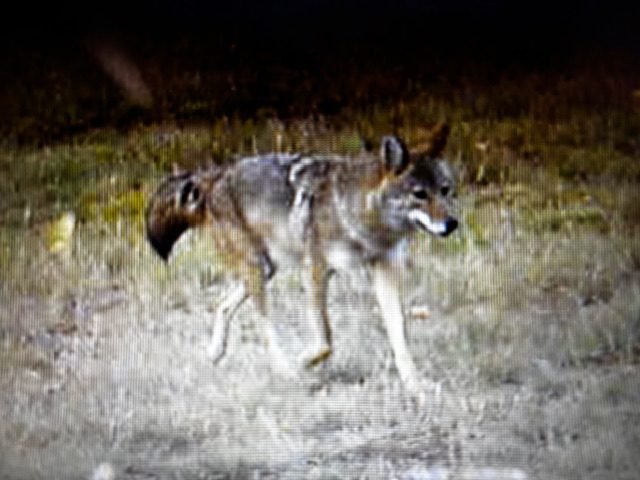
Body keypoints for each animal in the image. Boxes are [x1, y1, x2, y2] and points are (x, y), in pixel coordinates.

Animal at [145, 123, 457, 390]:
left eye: (445, 190)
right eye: (419, 194)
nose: (452, 223)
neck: (362, 216)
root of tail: (214, 174)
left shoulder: (385, 270)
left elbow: (399, 334)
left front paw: (416, 386)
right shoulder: (315, 270)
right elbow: (325, 340)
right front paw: (303, 364)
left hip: (265, 269)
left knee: (221, 305)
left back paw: (214, 353)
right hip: (257, 270)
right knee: (263, 326)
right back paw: (285, 372)